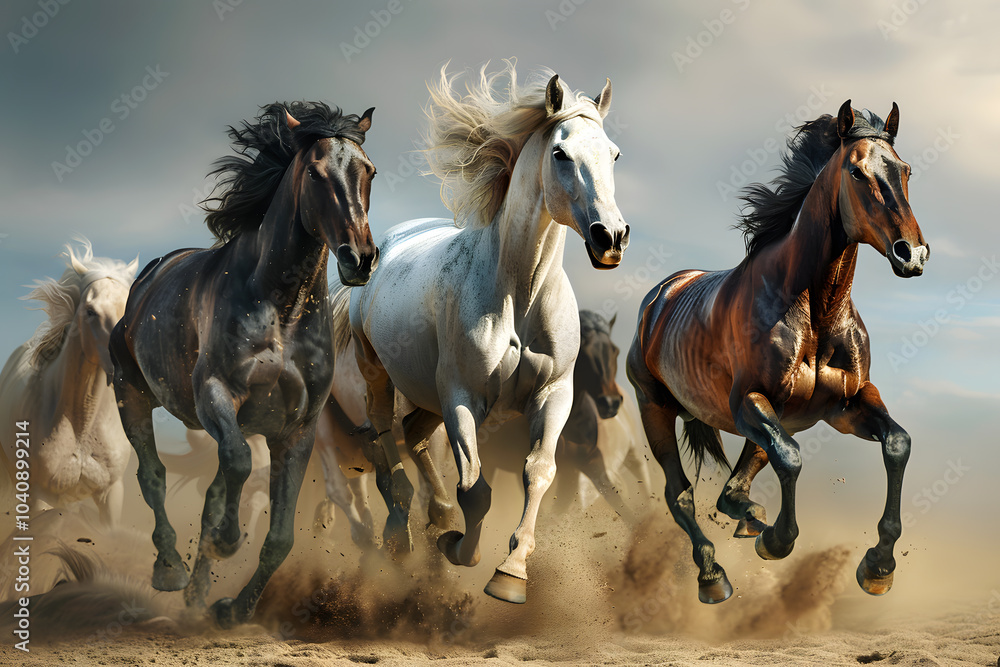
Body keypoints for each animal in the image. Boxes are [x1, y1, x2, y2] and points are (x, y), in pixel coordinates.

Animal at [108, 100, 378, 628]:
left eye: (369, 171)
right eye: (315, 173)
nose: (359, 258)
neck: (281, 308)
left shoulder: (298, 429)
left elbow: (279, 537)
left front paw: (232, 609)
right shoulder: (216, 395)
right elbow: (236, 463)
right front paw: (225, 542)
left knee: (210, 490)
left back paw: (197, 594)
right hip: (132, 395)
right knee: (153, 476)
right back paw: (170, 570)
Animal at [350, 62, 629, 604]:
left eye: (613, 153)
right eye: (560, 153)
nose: (610, 237)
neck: (519, 295)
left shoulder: (554, 395)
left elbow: (539, 472)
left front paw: (511, 572)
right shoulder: (462, 397)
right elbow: (476, 490)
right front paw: (461, 550)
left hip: (429, 396)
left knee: (412, 434)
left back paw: (437, 517)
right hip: (378, 373)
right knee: (384, 438)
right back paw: (403, 532)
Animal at [627, 101, 928, 604]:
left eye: (905, 170)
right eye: (856, 171)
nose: (913, 254)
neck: (814, 309)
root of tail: (662, 295)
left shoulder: (846, 405)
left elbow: (897, 444)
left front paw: (878, 565)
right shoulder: (748, 402)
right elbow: (792, 459)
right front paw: (777, 542)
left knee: (732, 490)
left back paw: (750, 518)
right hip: (656, 408)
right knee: (681, 494)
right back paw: (713, 575)